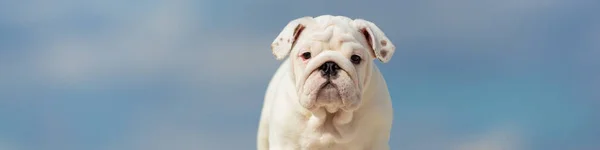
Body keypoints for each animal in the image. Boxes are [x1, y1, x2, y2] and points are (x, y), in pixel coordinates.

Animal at [256, 14, 394, 150]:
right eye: (306, 55)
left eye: (356, 58)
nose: (329, 65)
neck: (328, 113)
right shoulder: (285, 142)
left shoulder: (376, 141)